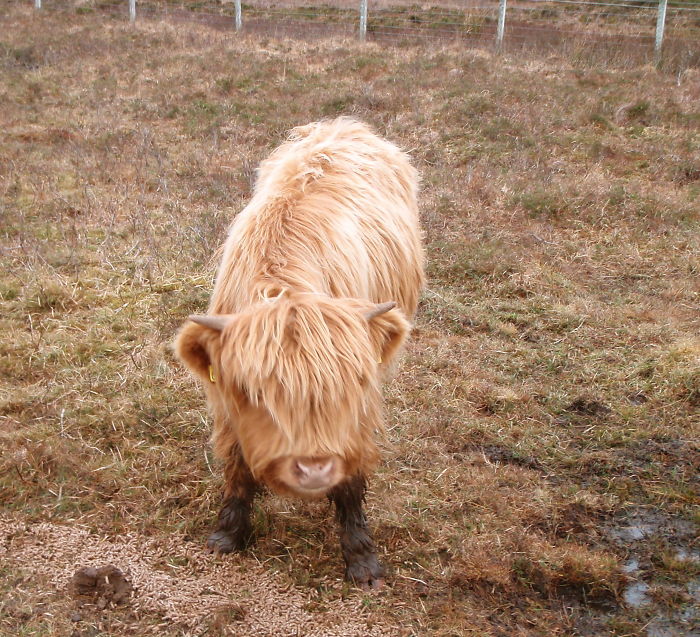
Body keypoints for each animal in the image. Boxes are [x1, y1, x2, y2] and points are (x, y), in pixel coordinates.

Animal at [175, 118, 426, 588]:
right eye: (253, 395)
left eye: (350, 388)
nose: (313, 470)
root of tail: (343, 125)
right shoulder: (226, 403)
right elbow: (237, 463)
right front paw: (228, 533)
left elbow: (352, 479)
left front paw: (362, 559)